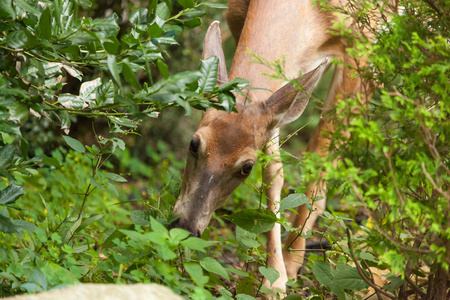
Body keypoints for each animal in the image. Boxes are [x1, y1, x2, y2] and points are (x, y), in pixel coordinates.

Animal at [172, 0, 366, 296]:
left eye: (246, 168)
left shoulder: (364, 49)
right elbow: (274, 171)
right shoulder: (236, 17)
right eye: (194, 143)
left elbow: (320, 158)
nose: (185, 226)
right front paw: (274, 278)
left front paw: (288, 267)